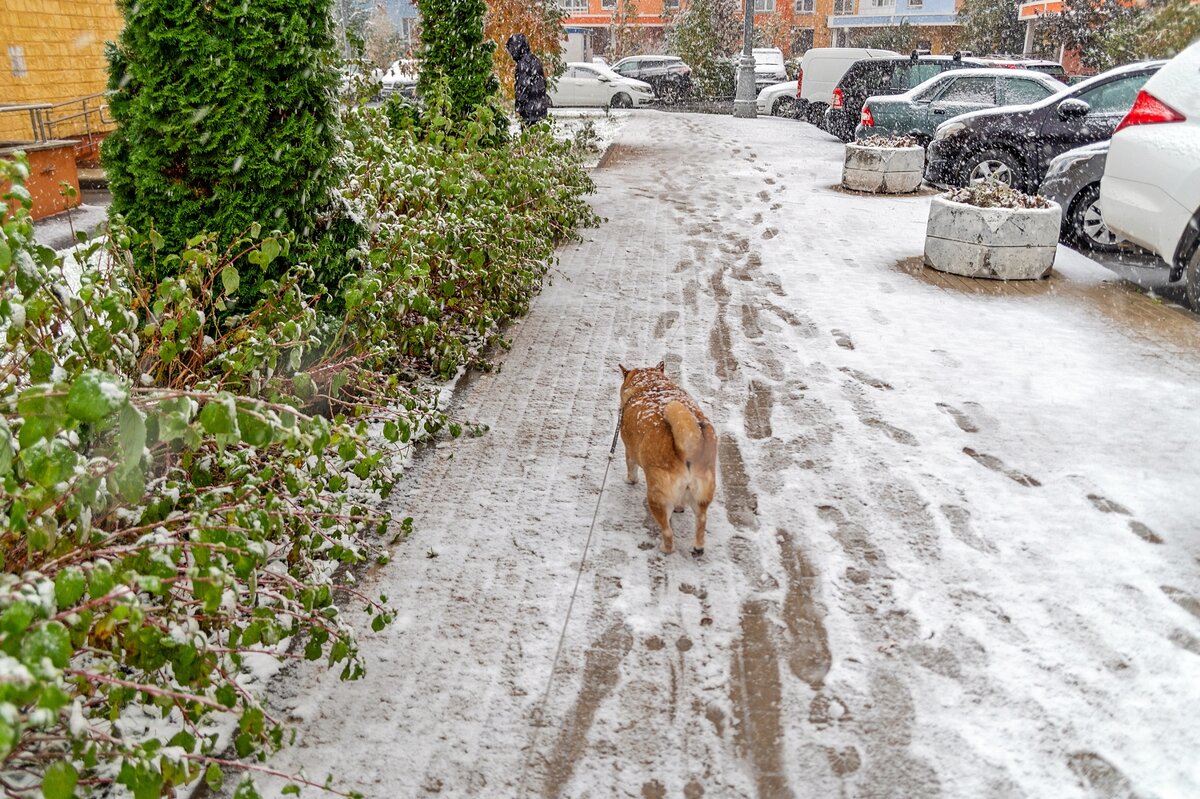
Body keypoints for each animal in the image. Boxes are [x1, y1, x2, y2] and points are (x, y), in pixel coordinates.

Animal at [614, 362, 715, 554]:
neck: (652, 385)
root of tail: (688, 446)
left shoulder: (629, 450)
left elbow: (631, 468)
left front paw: (630, 480)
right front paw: (680, 508)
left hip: (657, 497)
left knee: (667, 531)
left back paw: (665, 548)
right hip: (702, 492)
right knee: (702, 520)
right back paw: (697, 547)